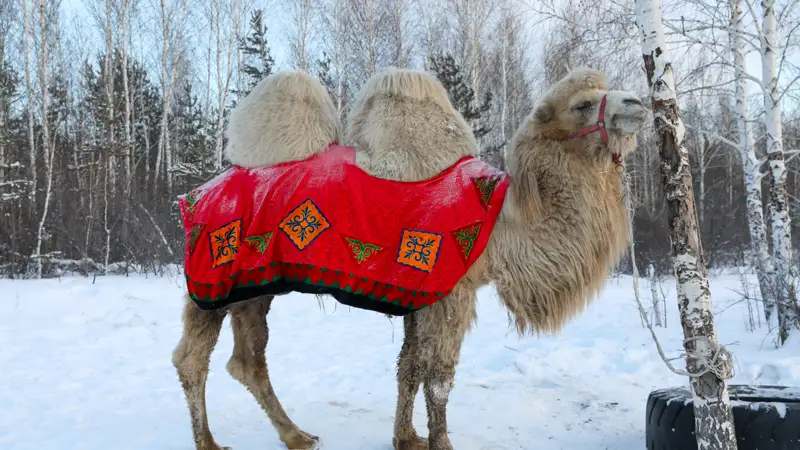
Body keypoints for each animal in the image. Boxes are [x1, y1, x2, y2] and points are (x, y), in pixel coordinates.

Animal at [171, 67, 647, 450]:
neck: (500, 225)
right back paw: (209, 442)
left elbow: (409, 366)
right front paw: (442, 443)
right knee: (191, 358)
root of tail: (192, 196)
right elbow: (438, 377)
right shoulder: (451, 290)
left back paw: (298, 435)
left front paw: (407, 437)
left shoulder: (419, 292)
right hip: (211, 278)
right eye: (582, 104)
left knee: (247, 361)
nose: (638, 103)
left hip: (254, 287)